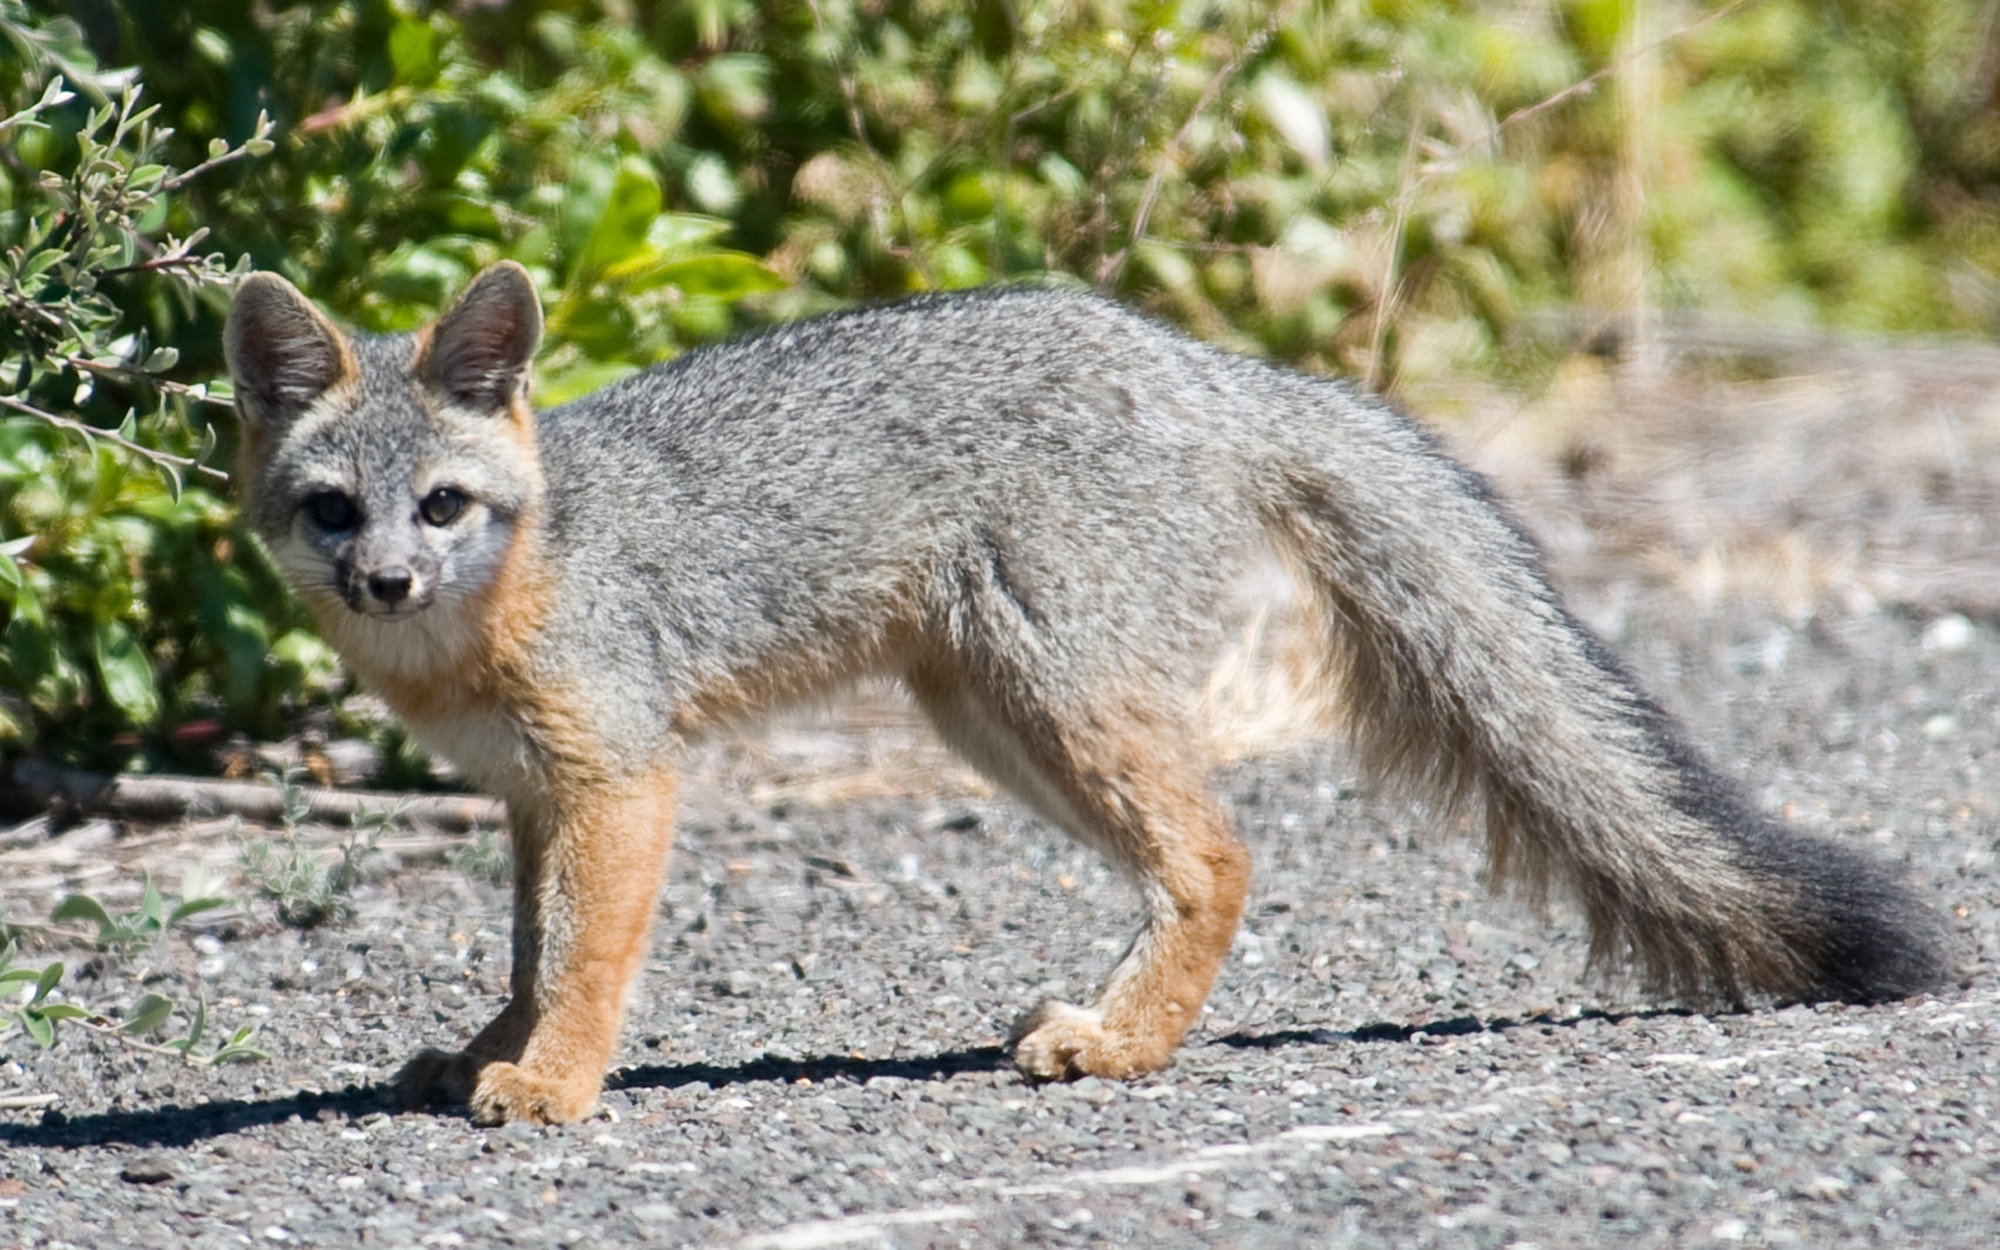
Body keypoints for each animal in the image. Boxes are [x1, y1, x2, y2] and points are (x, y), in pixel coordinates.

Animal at [227, 260, 1944, 1120]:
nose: (386, 582)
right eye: (338, 510)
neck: (508, 594)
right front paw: (488, 1048)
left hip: (1054, 701)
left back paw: (1125, 1050)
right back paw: (1108, 1021)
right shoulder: (533, 798)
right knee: (1189, 859)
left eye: (442, 506)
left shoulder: (622, 774)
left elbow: (587, 963)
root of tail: (1200, 363)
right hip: (998, 721)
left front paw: (557, 1083)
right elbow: (529, 953)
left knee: (1224, 853)